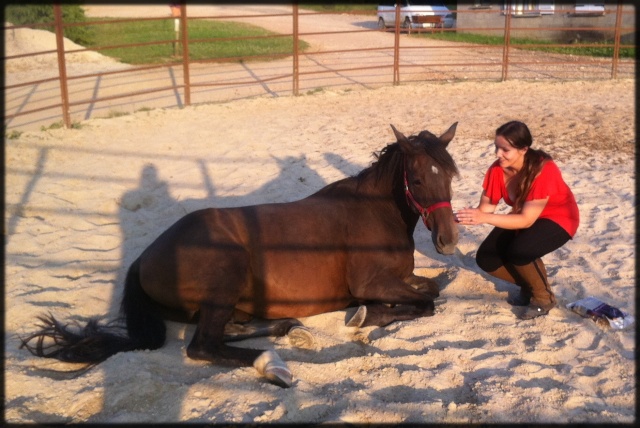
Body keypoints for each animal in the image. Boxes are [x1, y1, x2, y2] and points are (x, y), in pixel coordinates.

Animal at [20, 121, 460, 388]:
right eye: (417, 179)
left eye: (451, 176)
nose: (449, 241)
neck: (375, 211)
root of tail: (144, 257)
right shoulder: (372, 282)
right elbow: (425, 303)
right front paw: (368, 315)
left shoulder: (401, 278)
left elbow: (433, 289)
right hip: (226, 277)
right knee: (203, 346)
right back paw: (272, 363)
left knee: (226, 330)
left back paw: (291, 328)